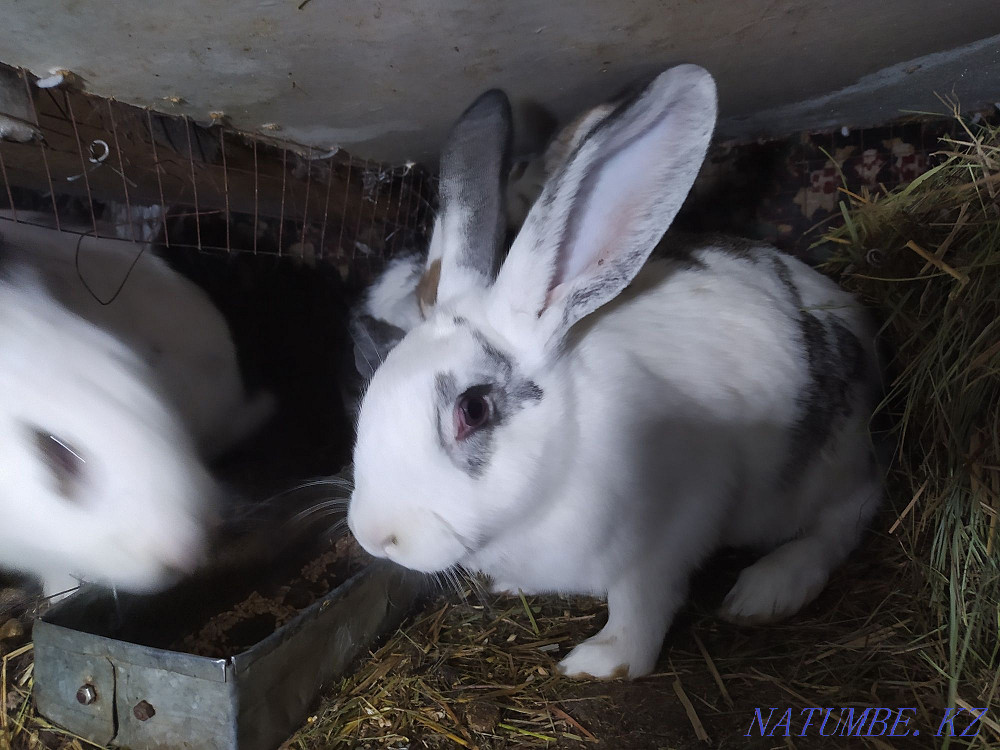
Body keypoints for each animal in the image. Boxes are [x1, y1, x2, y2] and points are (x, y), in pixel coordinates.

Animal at [347, 64, 883, 679]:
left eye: (473, 409)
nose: (376, 536)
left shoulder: (672, 531)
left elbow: (641, 603)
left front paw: (600, 662)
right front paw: (511, 588)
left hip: (825, 469)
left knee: (851, 512)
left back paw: (766, 590)